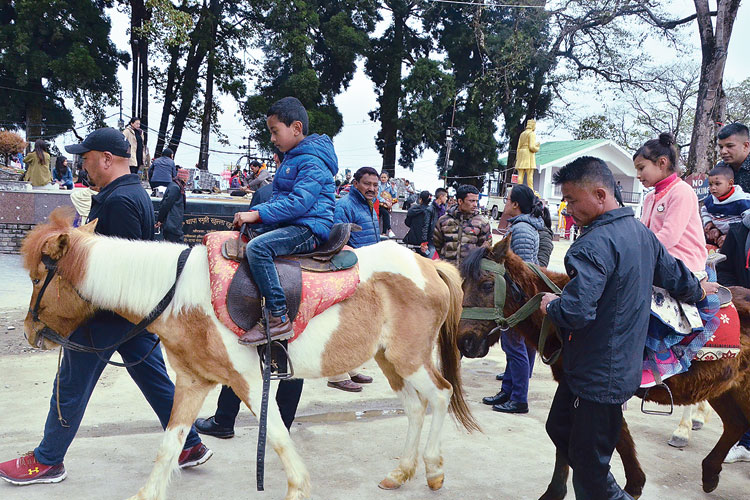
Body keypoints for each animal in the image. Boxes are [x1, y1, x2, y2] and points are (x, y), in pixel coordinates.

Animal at [20, 209, 478, 500]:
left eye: (40, 277)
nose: (30, 332)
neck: (179, 294)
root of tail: (429, 265)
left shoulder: (249, 381)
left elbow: (275, 435)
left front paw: (298, 488)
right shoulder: (192, 382)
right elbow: (169, 444)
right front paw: (147, 493)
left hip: (409, 358)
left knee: (439, 395)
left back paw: (434, 470)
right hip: (389, 360)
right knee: (415, 406)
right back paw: (400, 472)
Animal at [458, 237, 750, 500]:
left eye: (487, 284)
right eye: (462, 285)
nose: (465, 341)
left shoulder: (598, 392)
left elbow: (605, 438)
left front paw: (627, 486)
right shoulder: (576, 387)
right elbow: (591, 436)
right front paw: (630, 484)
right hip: (726, 389)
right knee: (736, 423)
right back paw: (710, 473)